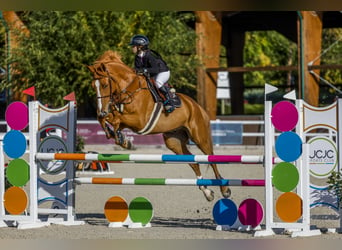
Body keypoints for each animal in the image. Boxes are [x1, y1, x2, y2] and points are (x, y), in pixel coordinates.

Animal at [86, 50, 230, 201]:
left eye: (104, 85)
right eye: (93, 86)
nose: (101, 110)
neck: (130, 88)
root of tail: (197, 106)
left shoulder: (139, 121)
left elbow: (115, 119)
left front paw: (121, 138)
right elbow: (107, 119)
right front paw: (120, 138)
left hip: (200, 138)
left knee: (211, 159)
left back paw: (225, 189)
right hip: (174, 142)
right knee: (193, 162)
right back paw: (207, 192)